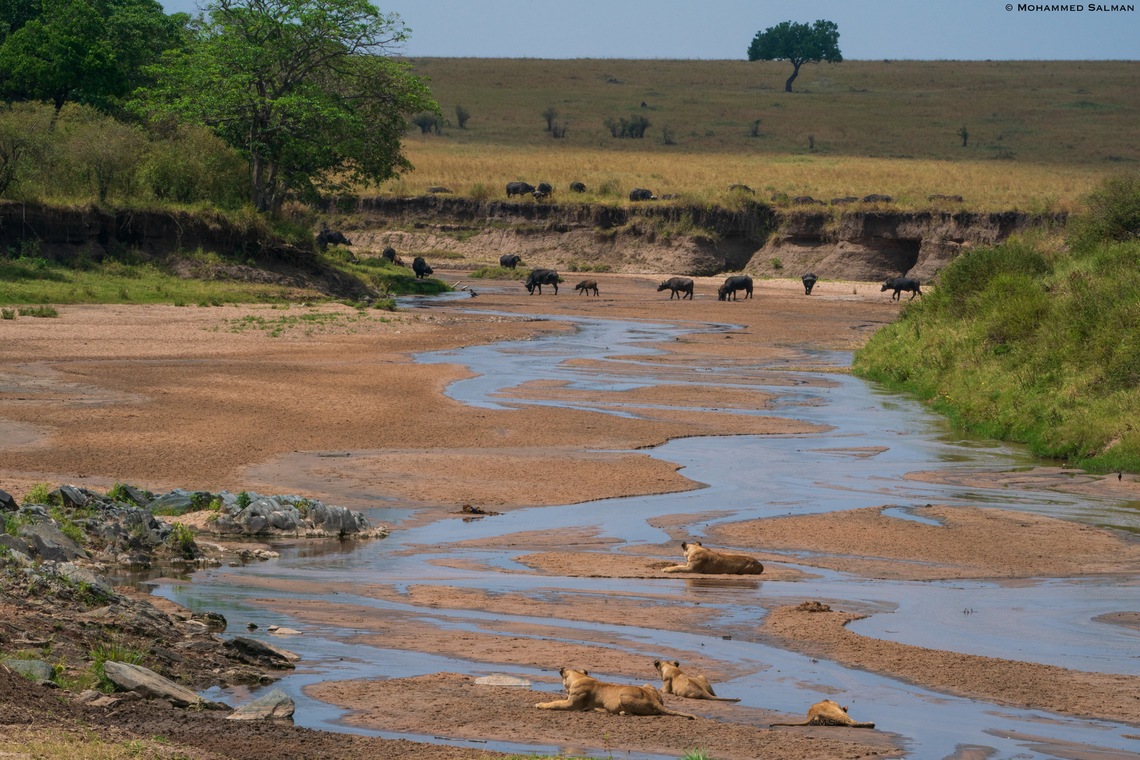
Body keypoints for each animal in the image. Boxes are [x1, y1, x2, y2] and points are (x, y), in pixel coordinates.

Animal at [535, 668, 697, 719]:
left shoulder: (571, 704)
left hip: (623, 694)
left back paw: (622, 713)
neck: (580, 676)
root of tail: (654, 699)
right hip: (647, 686)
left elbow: (554, 703)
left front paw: (539, 704)